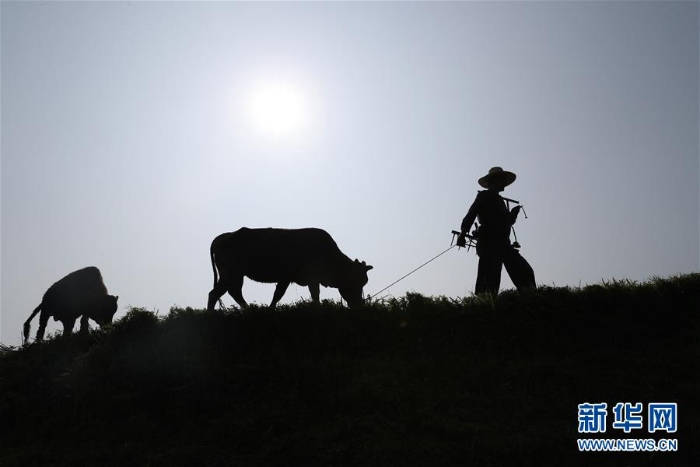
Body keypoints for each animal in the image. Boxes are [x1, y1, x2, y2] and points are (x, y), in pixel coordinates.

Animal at [208, 228, 372, 310]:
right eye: (354, 281)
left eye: (364, 283)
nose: (359, 305)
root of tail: (222, 237)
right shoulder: (286, 278)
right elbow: (278, 295)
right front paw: (270, 309)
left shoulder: (312, 280)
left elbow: (315, 295)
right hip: (232, 273)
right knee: (218, 293)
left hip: (233, 275)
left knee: (228, 292)